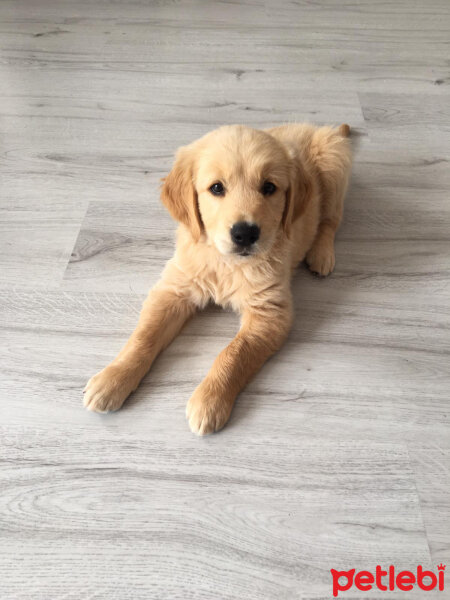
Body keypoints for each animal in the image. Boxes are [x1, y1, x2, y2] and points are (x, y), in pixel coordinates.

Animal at [83, 122, 352, 434]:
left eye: (269, 187)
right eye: (216, 188)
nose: (245, 233)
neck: (225, 262)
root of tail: (315, 126)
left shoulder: (269, 310)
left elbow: (235, 352)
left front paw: (210, 401)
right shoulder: (175, 289)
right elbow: (144, 336)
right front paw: (112, 378)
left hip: (334, 163)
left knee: (331, 220)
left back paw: (321, 254)